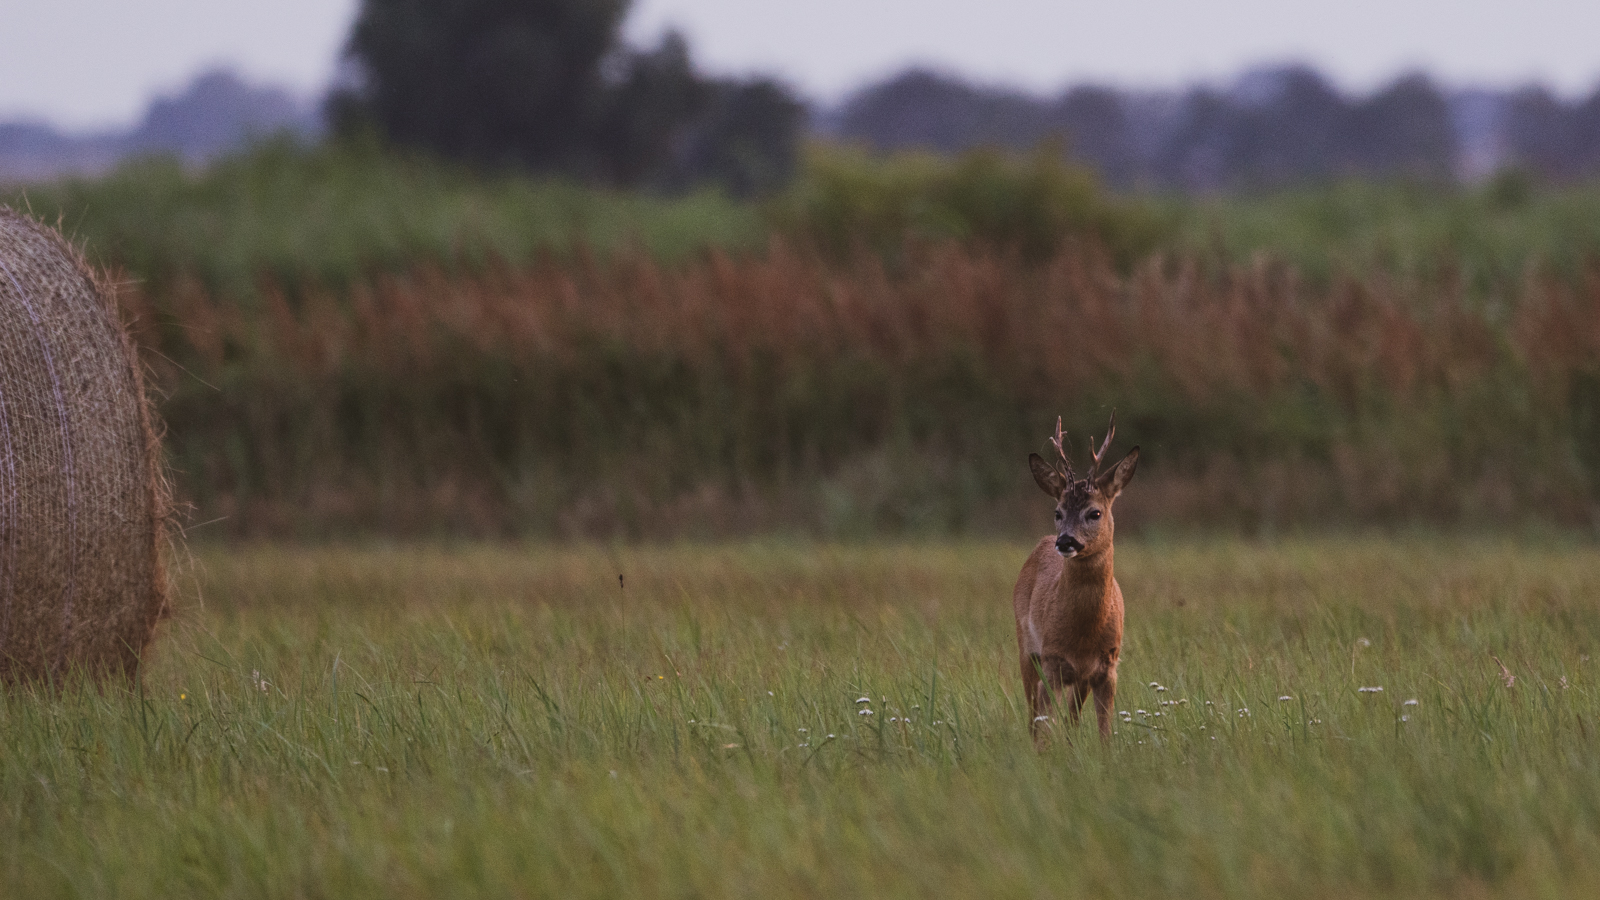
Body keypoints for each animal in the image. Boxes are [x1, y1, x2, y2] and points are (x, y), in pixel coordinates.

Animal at [1011, 413, 1139, 736]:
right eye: (1057, 512)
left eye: (1095, 513)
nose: (1065, 541)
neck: (1084, 635)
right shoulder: (1052, 660)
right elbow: (1044, 728)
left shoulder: (1108, 666)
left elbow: (1104, 732)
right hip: (1026, 648)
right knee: (1033, 716)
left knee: (1070, 718)